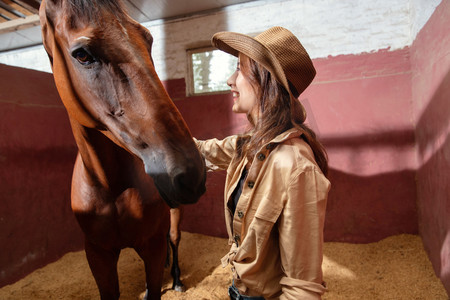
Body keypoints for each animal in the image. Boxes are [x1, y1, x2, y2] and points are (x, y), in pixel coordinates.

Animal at [39, 1, 207, 298]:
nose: (191, 172)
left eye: (148, 40)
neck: (111, 187)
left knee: (174, 238)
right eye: (82, 55)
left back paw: (176, 279)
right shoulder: (98, 255)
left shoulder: (151, 247)